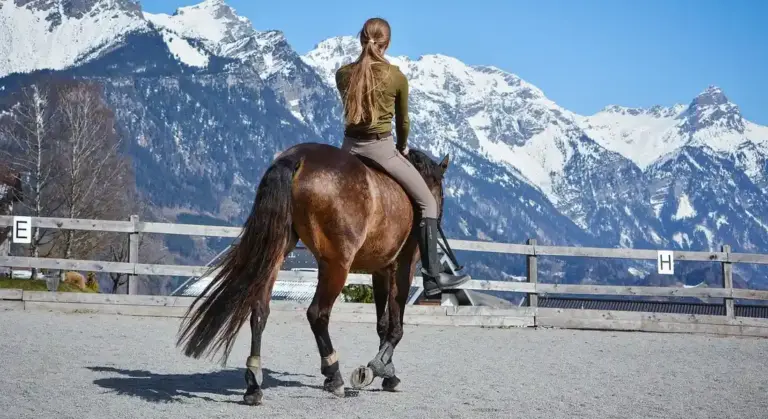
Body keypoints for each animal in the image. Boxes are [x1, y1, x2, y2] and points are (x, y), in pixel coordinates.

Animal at [176, 141, 452, 405]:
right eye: (441, 192)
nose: (439, 219)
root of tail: (298, 158)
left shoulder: (381, 270)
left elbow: (382, 324)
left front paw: (386, 371)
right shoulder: (402, 267)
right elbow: (396, 326)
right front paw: (376, 369)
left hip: (276, 252)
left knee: (260, 312)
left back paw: (254, 384)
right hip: (336, 265)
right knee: (317, 314)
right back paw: (333, 375)